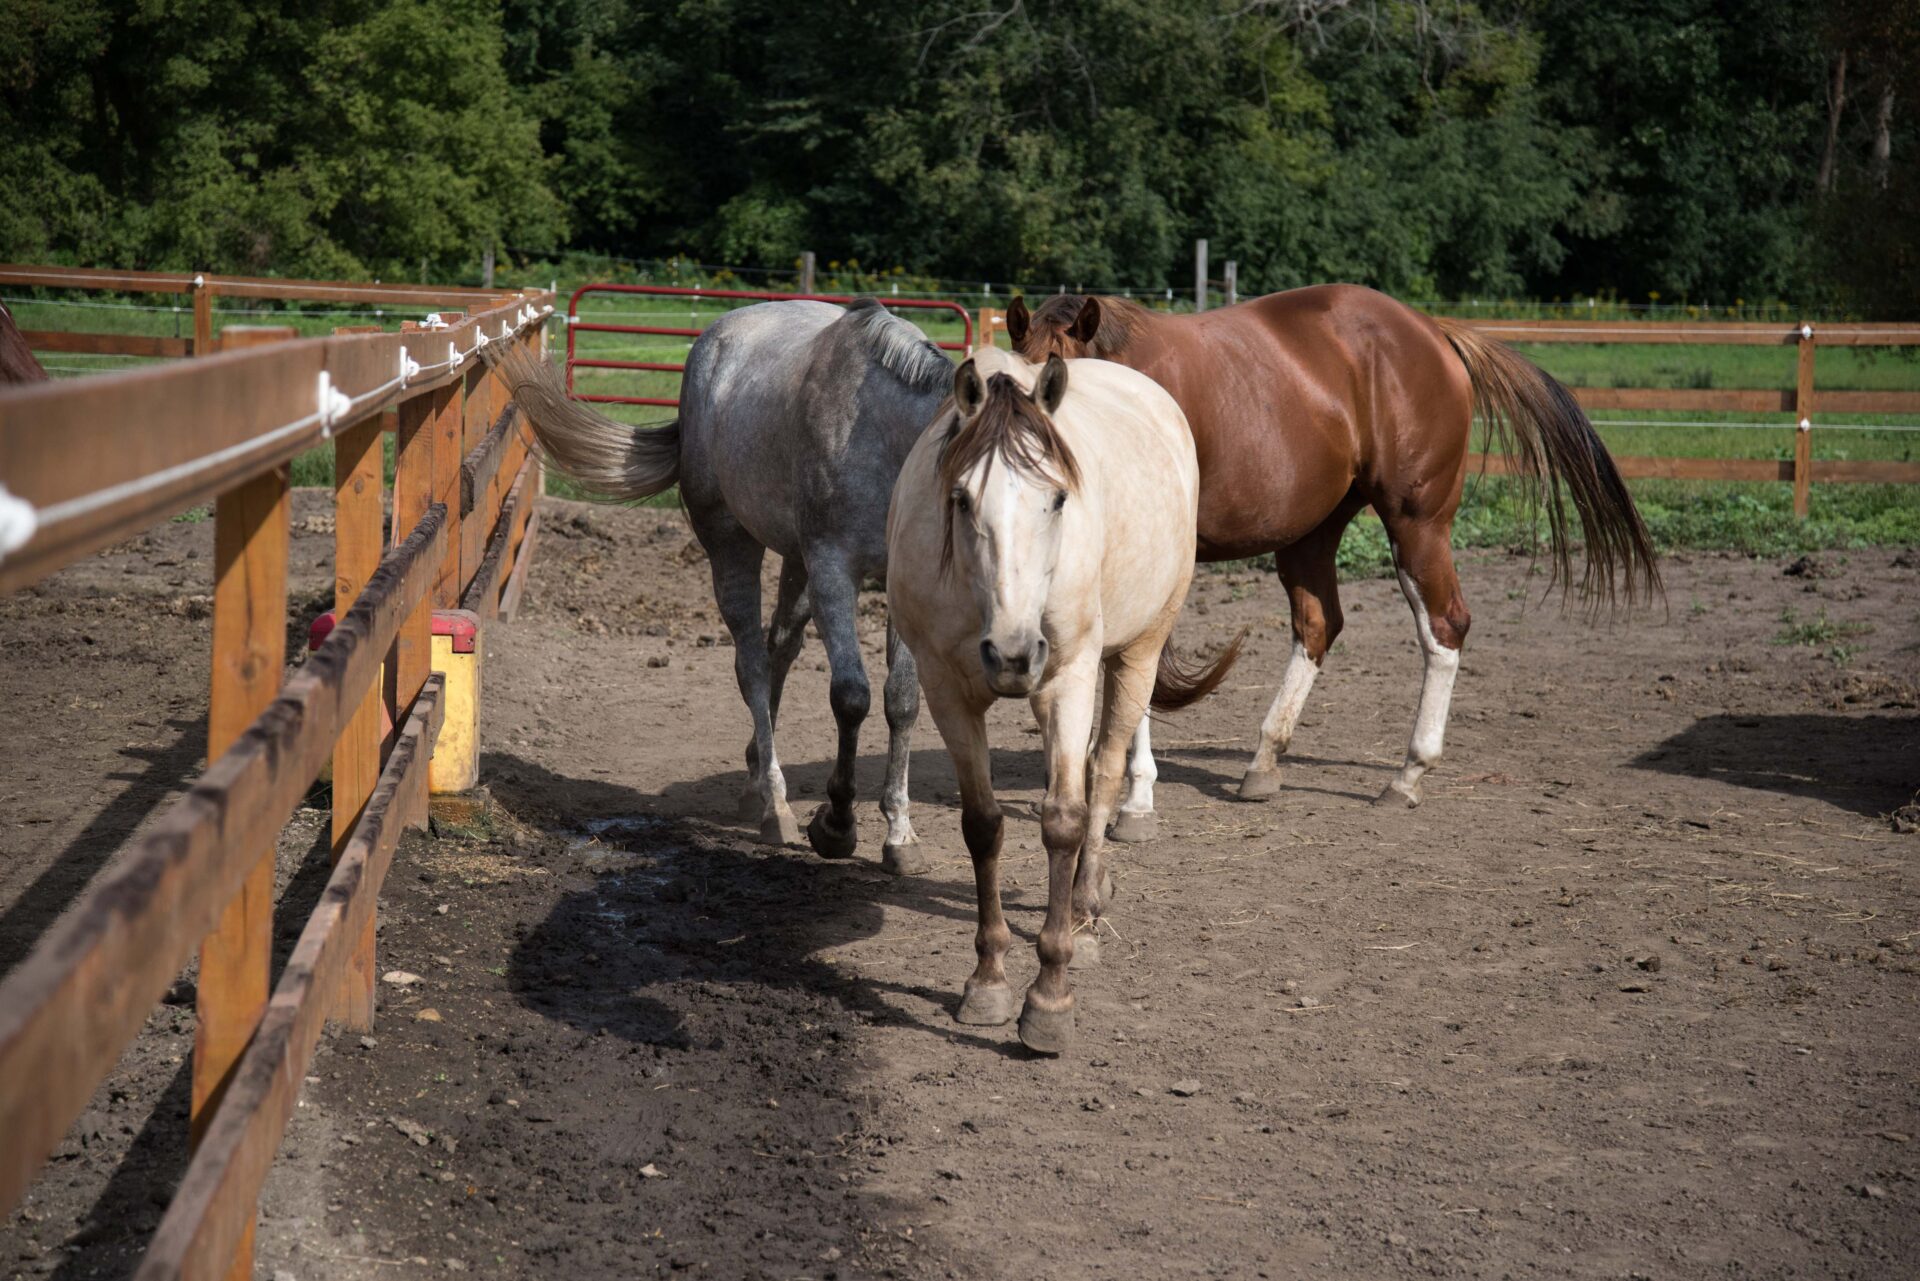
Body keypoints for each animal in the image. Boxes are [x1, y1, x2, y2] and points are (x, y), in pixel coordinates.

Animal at [491, 299, 948, 871]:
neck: (880, 439)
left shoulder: (896, 584)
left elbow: (902, 700)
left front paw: (900, 833)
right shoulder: (832, 571)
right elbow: (851, 697)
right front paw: (837, 824)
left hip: (793, 558)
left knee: (779, 649)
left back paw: (756, 778)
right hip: (732, 544)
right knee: (752, 662)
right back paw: (774, 803)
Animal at [887, 345, 1236, 1060]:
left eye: (1056, 497)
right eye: (961, 499)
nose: (1013, 654)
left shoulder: (1069, 676)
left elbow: (1065, 821)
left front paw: (1049, 996)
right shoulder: (945, 686)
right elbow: (983, 824)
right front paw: (989, 979)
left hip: (1135, 654)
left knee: (1103, 774)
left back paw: (1084, 914)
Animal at [1013, 291, 1658, 810]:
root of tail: (1434, 331)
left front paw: (1135, 793)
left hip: (1417, 525)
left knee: (1444, 626)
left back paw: (1408, 774)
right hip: (1311, 535)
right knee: (1319, 625)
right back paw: (1265, 761)